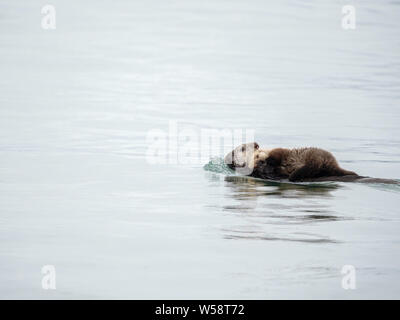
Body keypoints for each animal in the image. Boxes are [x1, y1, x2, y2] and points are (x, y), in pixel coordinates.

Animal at [223, 142, 364, 182]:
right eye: (242, 148)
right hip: (315, 158)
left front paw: (267, 162)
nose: (256, 144)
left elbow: (276, 154)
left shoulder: (274, 151)